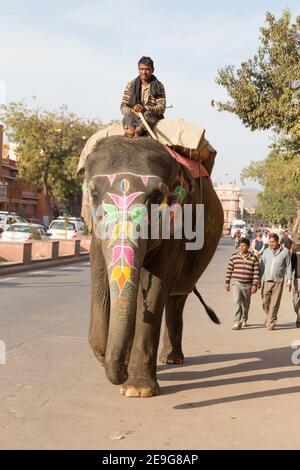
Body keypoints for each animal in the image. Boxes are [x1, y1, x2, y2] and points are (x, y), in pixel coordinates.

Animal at [79, 135, 223, 396]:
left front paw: (137, 390)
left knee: (177, 297)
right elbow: (100, 277)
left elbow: (155, 285)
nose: (121, 372)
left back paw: (171, 359)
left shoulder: (175, 229)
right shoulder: (95, 232)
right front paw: (105, 355)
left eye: (157, 198)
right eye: (94, 195)